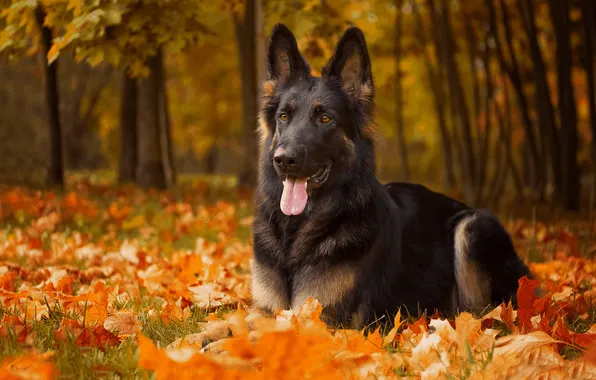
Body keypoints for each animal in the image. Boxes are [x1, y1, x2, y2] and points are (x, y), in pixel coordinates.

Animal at [249, 22, 528, 328]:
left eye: (325, 119)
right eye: (283, 117)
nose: (284, 160)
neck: (297, 230)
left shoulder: (323, 318)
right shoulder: (263, 310)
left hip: (473, 226)